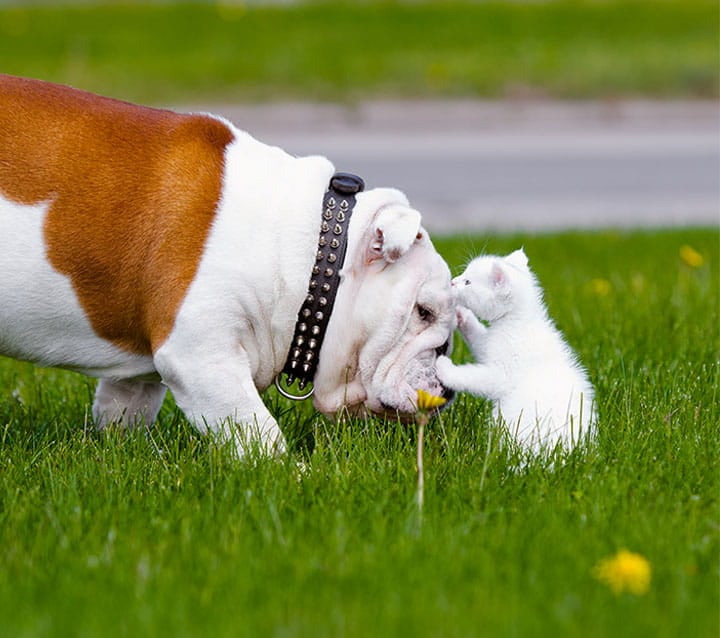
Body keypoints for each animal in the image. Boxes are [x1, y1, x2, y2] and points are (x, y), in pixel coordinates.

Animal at [438, 249, 596, 456]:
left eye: (468, 282)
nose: (452, 282)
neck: (517, 320)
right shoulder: (490, 344)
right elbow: (479, 340)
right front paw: (463, 315)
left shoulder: (503, 372)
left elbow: (475, 377)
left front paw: (444, 369)